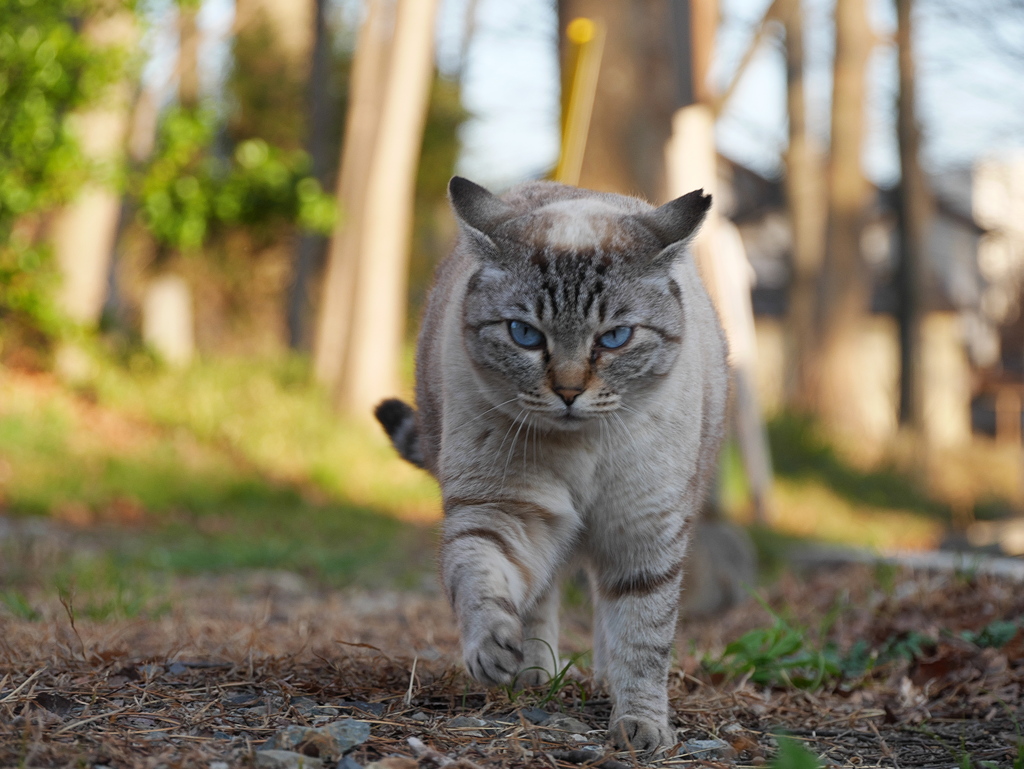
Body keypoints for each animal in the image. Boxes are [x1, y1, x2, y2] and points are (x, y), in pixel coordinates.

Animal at [376, 176, 729, 753]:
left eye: (614, 338)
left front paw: (641, 726)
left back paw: (600, 681)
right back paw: (534, 677)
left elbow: (643, 640)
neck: (582, 448)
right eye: (525, 334)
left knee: (605, 615)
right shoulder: (504, 512)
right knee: (541, 594)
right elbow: (480, 579)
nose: (567, 392)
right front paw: (496, 651)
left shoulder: (643, 535)